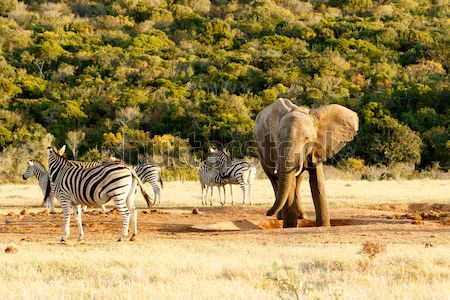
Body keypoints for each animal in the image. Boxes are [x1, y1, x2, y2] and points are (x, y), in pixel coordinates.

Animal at [253, 98, 358, 227]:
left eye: (307, 138)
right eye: (277, 138)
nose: (266, 213)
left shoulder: (317, 146)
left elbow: (317, 180)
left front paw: (323, 226)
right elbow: (289, 181)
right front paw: (290, 226)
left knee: (298, 179)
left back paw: (301, 216)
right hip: (259, 149)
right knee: (273, 179)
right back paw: (281, 217)